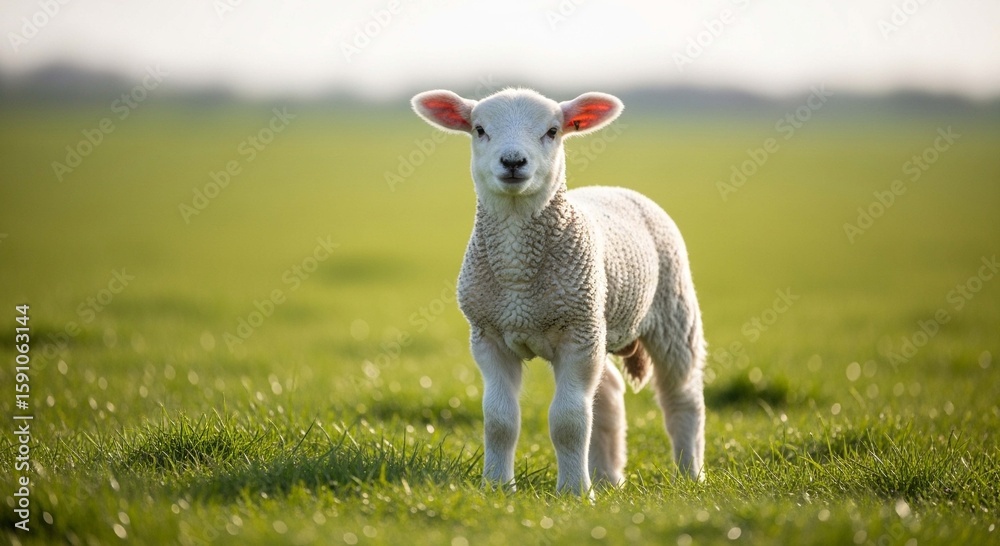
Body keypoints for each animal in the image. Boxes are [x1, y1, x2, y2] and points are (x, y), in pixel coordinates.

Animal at [411, 87, 706, 495]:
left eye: (552, 131)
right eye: (479, 129)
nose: (513, 161)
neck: (518, 278)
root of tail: (612, 188)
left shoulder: (577, 333)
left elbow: (569, 420)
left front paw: (574, 493)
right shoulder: (489, 335)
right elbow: (500, 420)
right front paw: (497, 487)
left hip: (671, 312)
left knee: (683, 397)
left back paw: (690, 474)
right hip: (600, 324)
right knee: (608, 394)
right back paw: (608, 478)